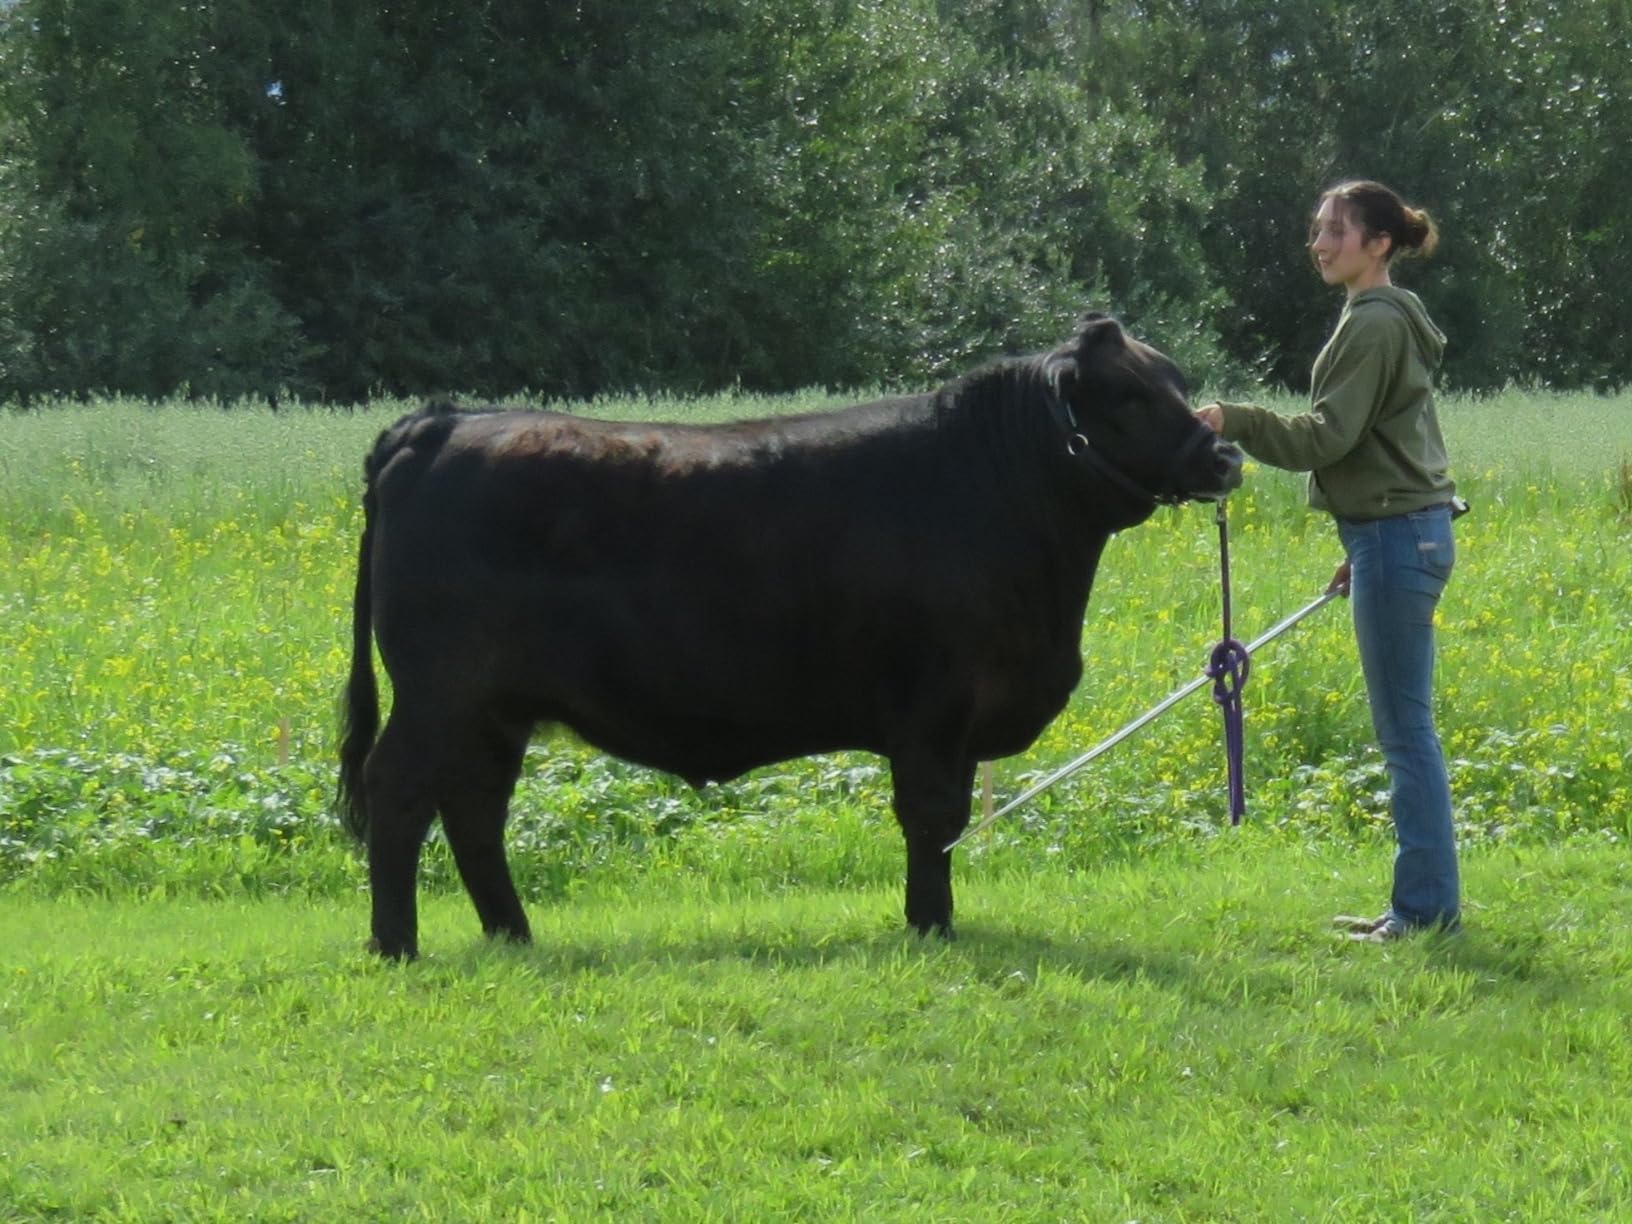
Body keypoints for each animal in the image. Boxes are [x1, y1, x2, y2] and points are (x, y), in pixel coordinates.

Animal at [338, 313, 1243, 958]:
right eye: (1130, 396)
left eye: (1176, 382)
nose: (1226, 457)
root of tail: (443, 422)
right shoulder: (934, 709)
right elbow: (931, 817)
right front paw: (930, 925)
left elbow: (943, 821)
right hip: (440, 693)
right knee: (401, 791)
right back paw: (395, 944)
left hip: (494, 708)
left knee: (475, 807)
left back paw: (513, 935)